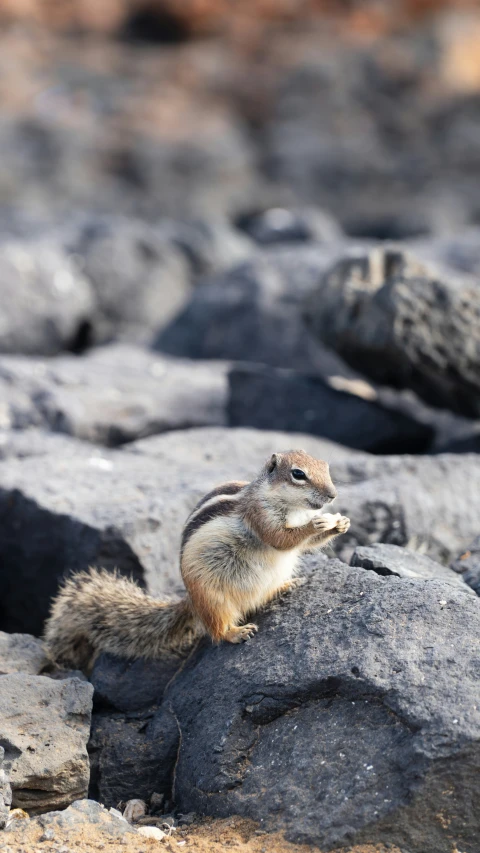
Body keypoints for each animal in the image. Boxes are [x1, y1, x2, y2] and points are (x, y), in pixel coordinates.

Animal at [45, 450, 350, 668]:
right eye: (298, 474)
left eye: (326, 467)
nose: (333, 495)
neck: (291, 507)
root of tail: (190, 601)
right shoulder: (259, 516)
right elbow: (281, 539)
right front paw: (317, 525)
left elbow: (299, 545)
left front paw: (340, 524)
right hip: (212, 598)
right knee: (217, 629)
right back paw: (235, 632)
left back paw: (285, 586)